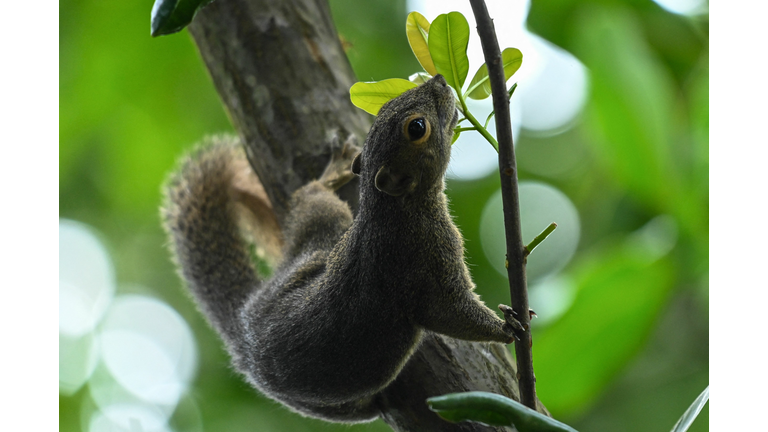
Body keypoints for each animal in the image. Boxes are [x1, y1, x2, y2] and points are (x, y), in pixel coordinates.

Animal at [161, 74, 520, 422]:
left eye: (385, 105)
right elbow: (450, 311)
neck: (391, 208)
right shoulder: (424, 256)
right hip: (329, 231)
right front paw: (506, 329)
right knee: (312, 198)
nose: (440, 80)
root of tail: (243, 333)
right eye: (417, 127)